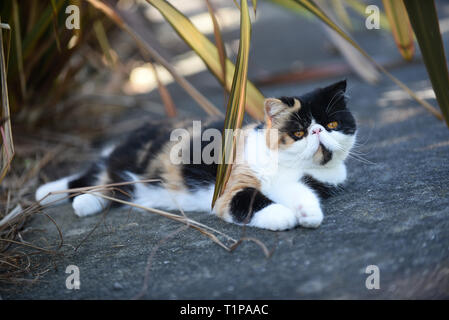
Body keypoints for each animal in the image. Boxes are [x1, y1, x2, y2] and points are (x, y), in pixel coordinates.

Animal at [35, 79, 356, 230]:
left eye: (332, 124)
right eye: (299, 132)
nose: (317, 131)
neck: (287, 165)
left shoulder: (308, 182)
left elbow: (301, 191)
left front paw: (307, 213)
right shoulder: (232, 185)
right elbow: (249, 200)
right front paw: (282, 215)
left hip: (125, 181)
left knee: (108, 186)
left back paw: (82, 202)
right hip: (128, 159)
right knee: (93, 174)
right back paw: (45, 193)